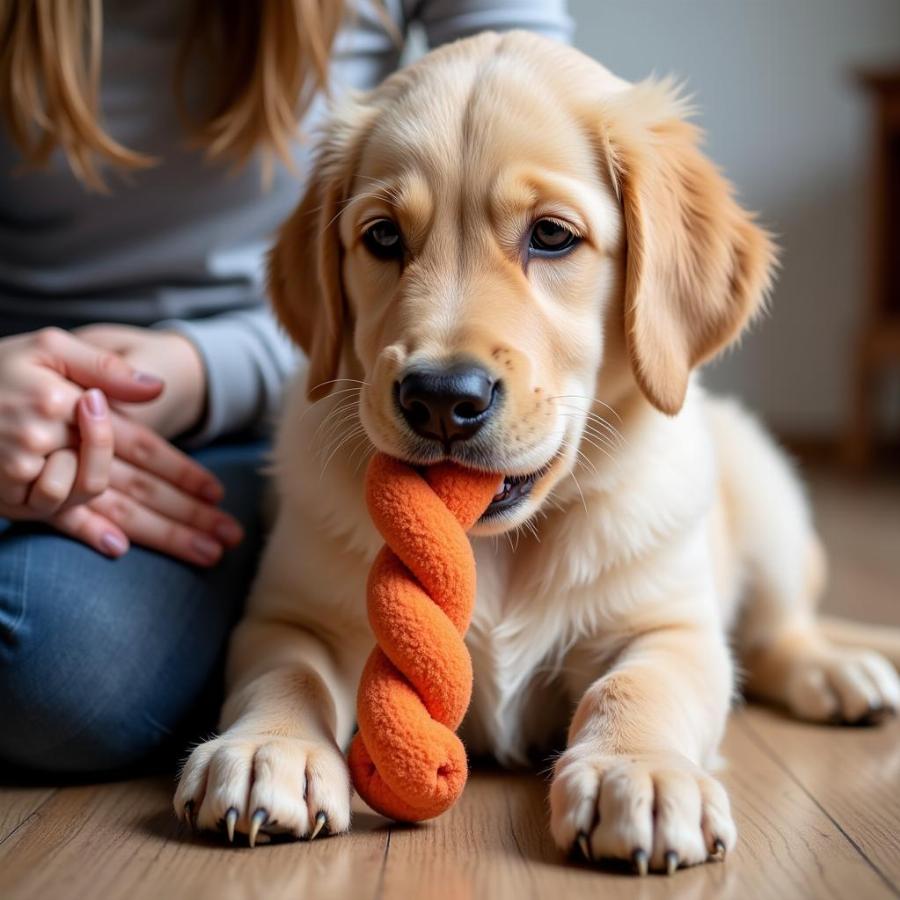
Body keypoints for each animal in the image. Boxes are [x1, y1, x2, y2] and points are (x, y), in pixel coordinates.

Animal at [172, 31, 896, 868]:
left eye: (551, 235)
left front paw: (638, 773)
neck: (499, 544)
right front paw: (268, 749)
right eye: (382, 237)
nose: (440, 398)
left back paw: (839, 672)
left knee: (781, 628)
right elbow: (287, 674)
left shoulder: (671, 625)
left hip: (766, 490)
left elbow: (640, 685)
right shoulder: (291, 614)